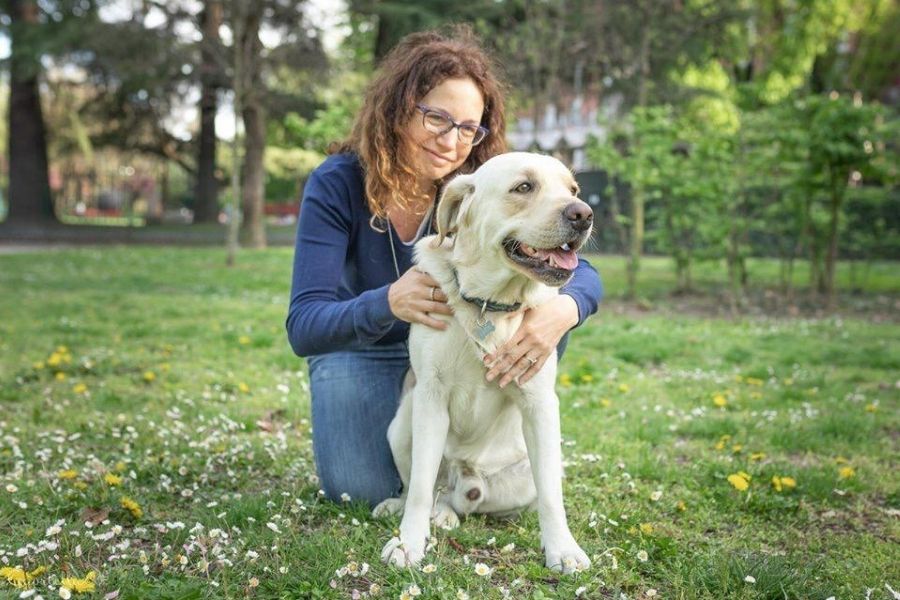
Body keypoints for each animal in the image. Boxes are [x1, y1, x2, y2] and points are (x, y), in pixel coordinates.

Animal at [376, 152, 596, 576]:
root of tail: (462, 475)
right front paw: (409, 543)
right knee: (424, 487)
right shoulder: (430, 397)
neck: (489, 304)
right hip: (400, 427)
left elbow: (552, 496)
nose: (584, 213)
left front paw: (561, 549)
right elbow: (420, 486)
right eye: (524, 187)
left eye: (573, 189)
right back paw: (413, 508)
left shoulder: (540, 404)